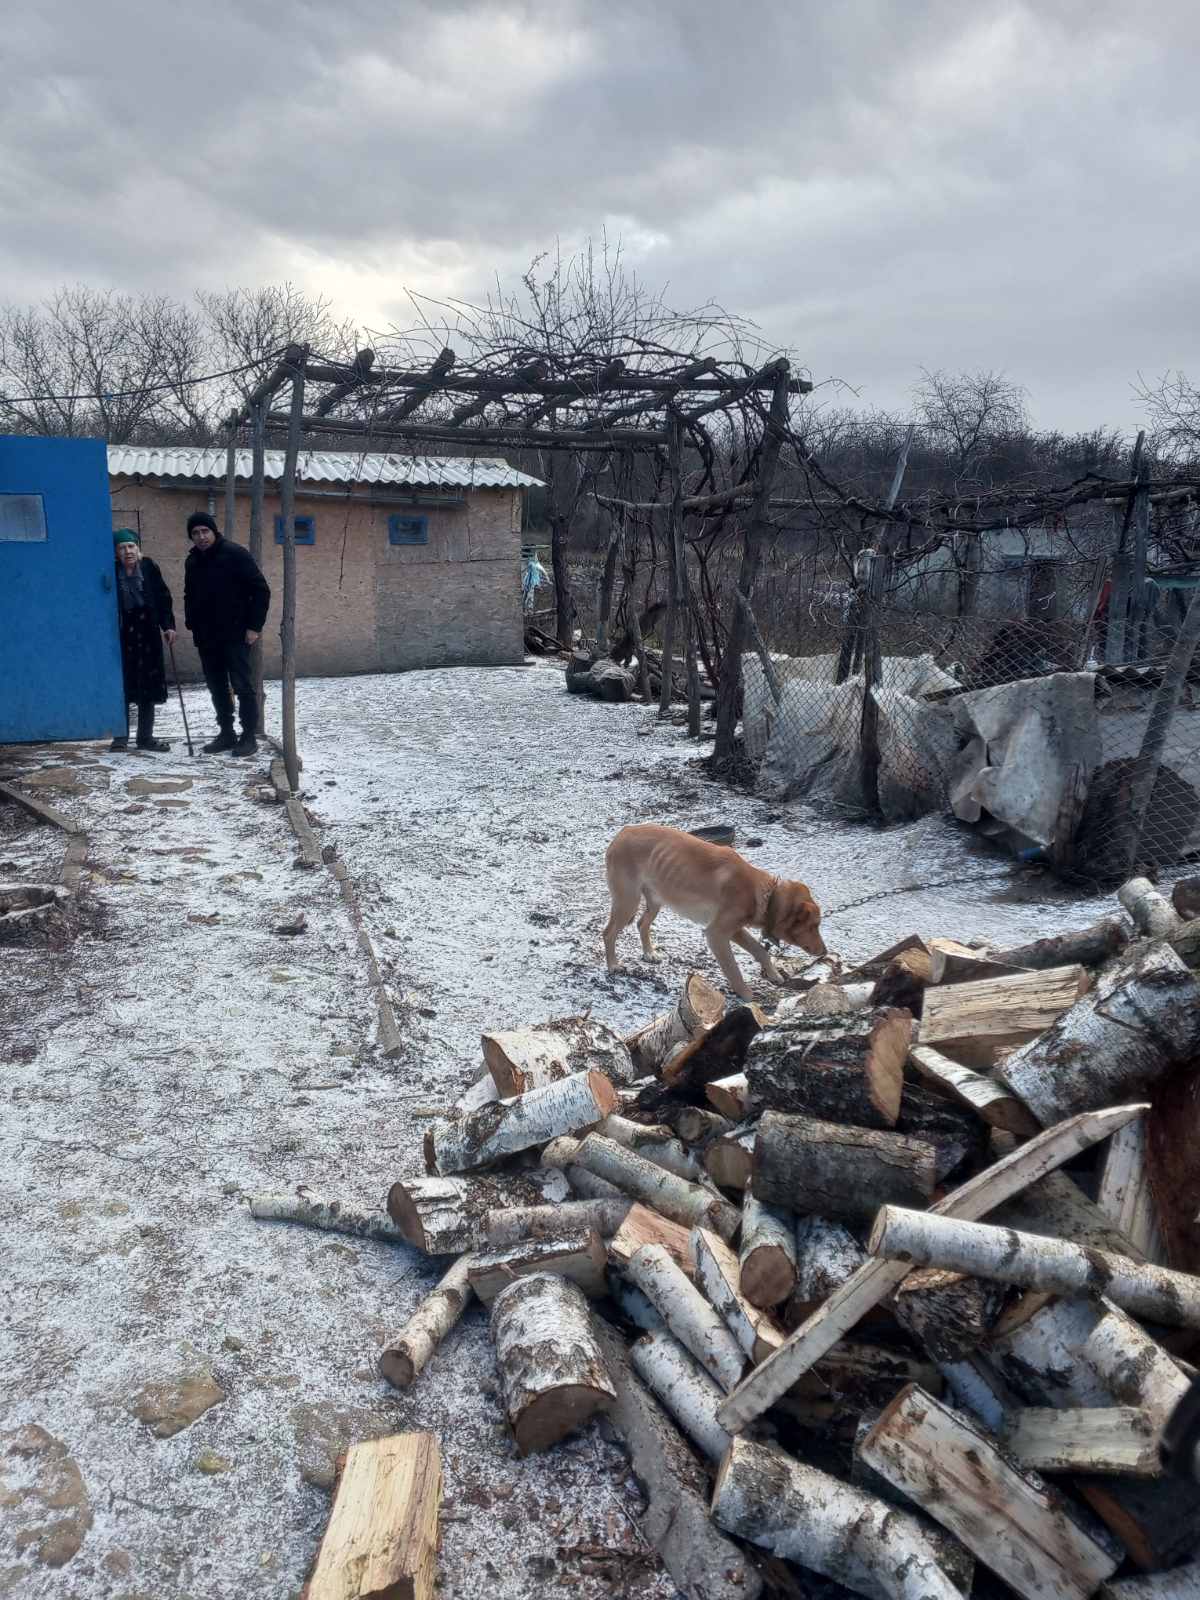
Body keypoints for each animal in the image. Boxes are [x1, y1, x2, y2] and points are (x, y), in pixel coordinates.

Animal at [601, 825, 825, 998]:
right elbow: (733, 970)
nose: (825, 952)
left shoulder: (735, 930)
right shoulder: (717, 935)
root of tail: (623, 832)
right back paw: (613, 965)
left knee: (642, 924)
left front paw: (773, 974)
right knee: (608, 933)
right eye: (814, 925)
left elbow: (760, 951)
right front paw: (747, 996)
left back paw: (649, 953)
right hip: (628, 901)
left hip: (656, 900)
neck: (766, 895)